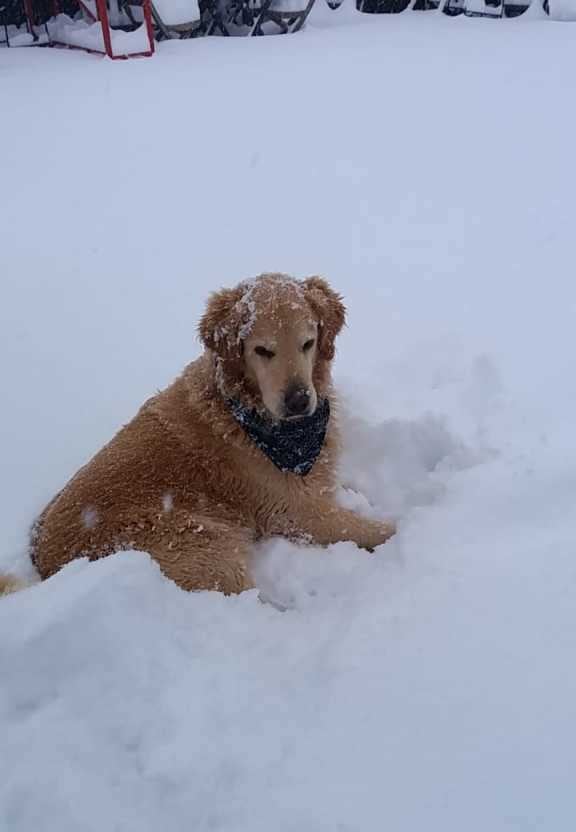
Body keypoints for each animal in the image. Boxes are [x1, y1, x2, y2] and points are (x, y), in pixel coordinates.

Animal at [4, 274, 394, 600]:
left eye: (308, 343)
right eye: (262, 351)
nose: (299, 401)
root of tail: (47, 567)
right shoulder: (295, 514)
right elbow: (373, 530)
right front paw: (399, 531)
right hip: (205, 542)